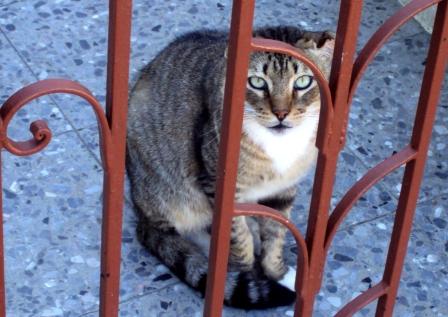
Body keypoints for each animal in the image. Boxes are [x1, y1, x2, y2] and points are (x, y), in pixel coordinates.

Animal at [125, 25, 332, 308]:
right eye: (257, 82)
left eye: (303, 82)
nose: (281, 114)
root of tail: (140, 210)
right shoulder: (219, 186)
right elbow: (239, 240)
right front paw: (249, 276)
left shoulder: (283, 190)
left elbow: (276, 233)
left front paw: (277, 273)